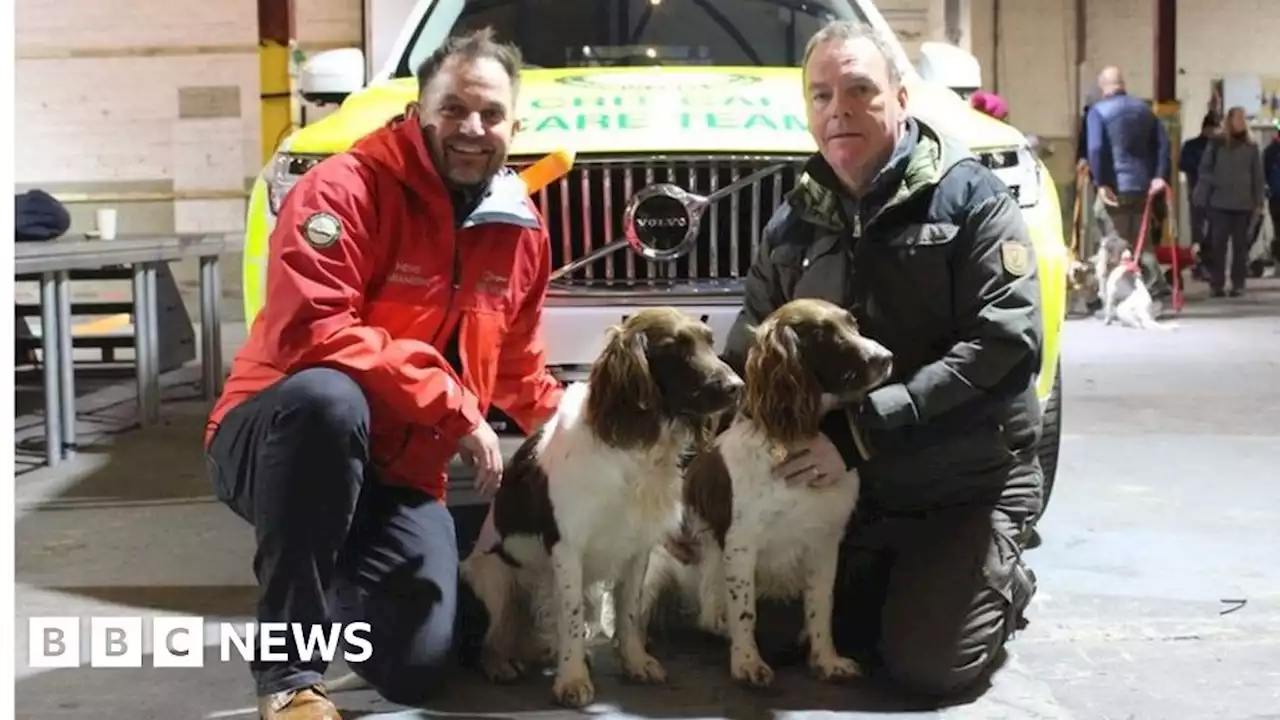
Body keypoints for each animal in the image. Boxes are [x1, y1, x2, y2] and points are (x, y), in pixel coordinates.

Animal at [463, 304, 747, 702]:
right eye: (675, 348)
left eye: (709, 341)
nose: (737, 386)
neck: (633, 445)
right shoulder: (567, 547)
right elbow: (570, 615)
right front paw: (572, 679)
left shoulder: (638, 548)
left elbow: (628, 612)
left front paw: (635, 661)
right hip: (493, 575)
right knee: (490, 640)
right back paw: (502, 663)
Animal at [640, 295, 901, 681]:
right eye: (822, 334)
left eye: (853, 323)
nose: (885, 357)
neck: (796, 437)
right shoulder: (741, 544)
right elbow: (745, 610)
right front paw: (748, 662)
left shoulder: (825, 542)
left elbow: (821, 607)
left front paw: (826, 659)